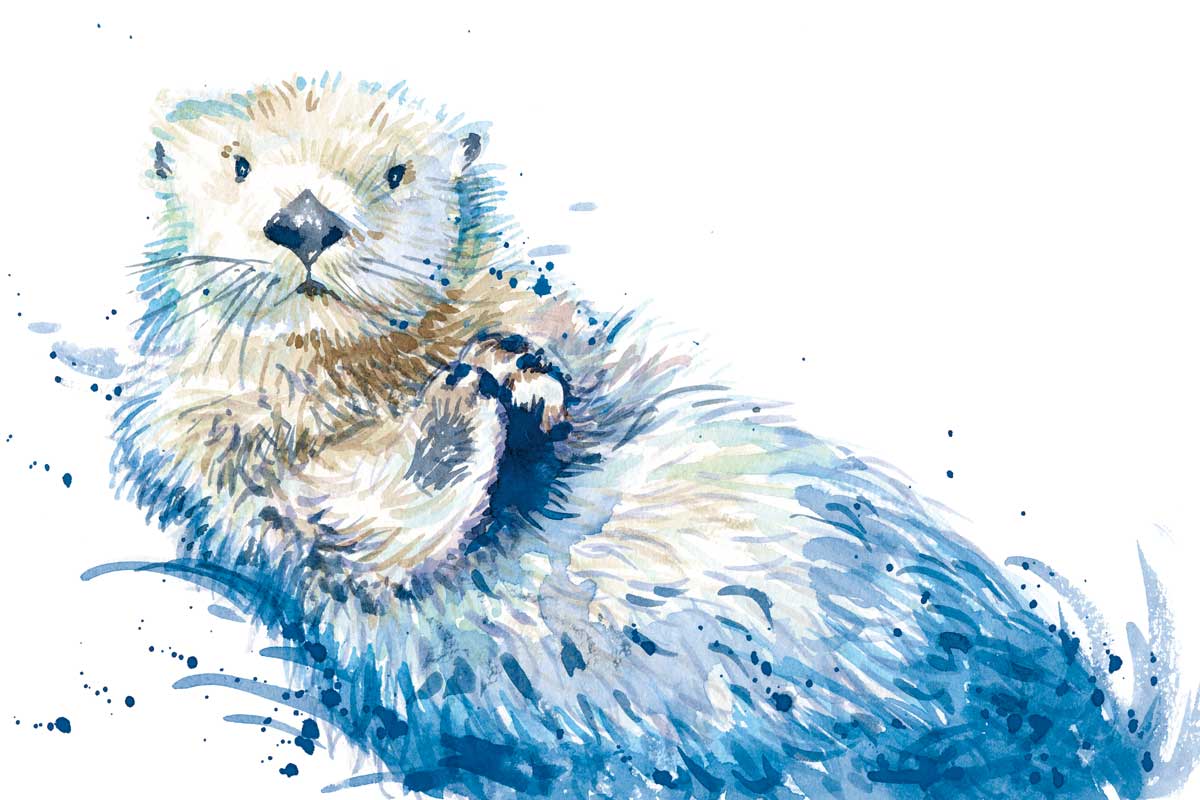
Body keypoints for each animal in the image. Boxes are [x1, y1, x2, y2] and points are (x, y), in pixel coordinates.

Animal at [109, 75, 1194, 799]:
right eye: (239, 165)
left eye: (394, 170)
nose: (304, 222)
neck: (373, 373)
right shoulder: (213, 447)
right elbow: (345, 518)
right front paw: (475, 400)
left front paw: (520, 370)